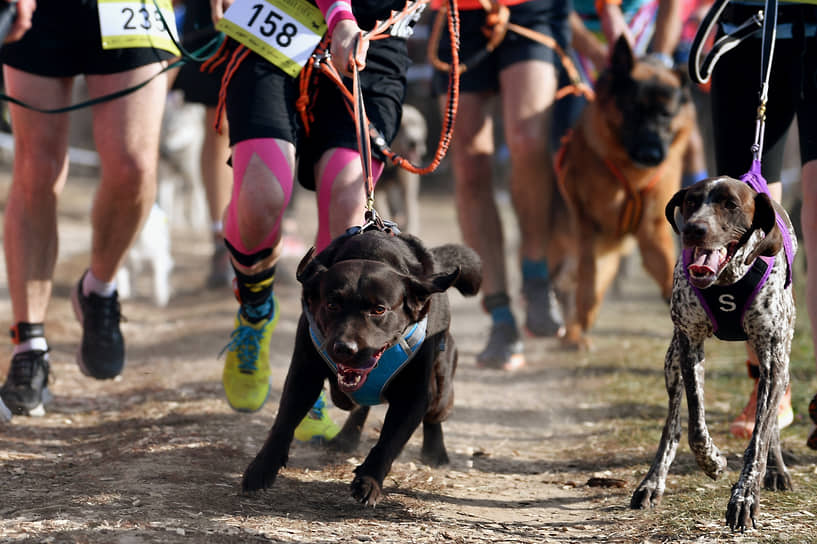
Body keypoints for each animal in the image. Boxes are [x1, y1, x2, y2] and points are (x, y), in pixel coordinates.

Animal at [244, 226, 484, 506]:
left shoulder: (413, 395)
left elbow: (388, 442)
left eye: (379, 309)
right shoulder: (304, 374)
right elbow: (283, 422)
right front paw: (261, 469)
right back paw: (346, 438)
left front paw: (369, 481)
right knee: (356, 406)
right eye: (332, 304)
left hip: (442, 386)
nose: (345, 348)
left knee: (434, 413)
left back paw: (435, 452)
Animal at [548, 37, 696, 348]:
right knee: (567, 286)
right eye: (634, 111)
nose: (652, 155)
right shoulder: (589, 229)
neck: (632, 176)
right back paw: (573, 333)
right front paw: (582, 318)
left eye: (666, 115)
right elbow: (587, 284)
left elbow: (666, 270)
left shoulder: (652, 231)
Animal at [632, 177, 796, 532]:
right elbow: (695, 426)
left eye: (730, 205)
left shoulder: (773, 357)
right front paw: (713, 461)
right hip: (672, 362)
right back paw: (652, 482)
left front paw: (745, 497)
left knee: (770, 427)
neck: (727, 281)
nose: (695, 229)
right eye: (691, 202)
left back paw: (776, 470)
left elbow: (759, 439)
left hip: (780, 362)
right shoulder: (690, 344)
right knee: (672, 426)